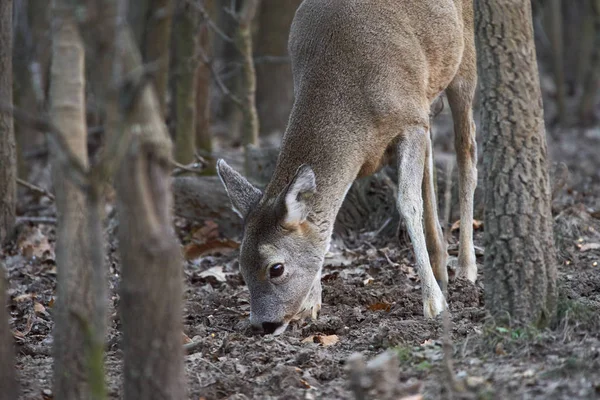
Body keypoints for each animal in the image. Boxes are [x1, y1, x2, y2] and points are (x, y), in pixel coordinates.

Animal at [217, 0, 478, 334]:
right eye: (240, 265)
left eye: (276, 268)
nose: (264, 324)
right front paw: (311, 305)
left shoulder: (409, 119)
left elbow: (408, 202)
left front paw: (434, 303)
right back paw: (440, 261)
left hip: (464, 58)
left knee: (466, 150)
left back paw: (466, 268)